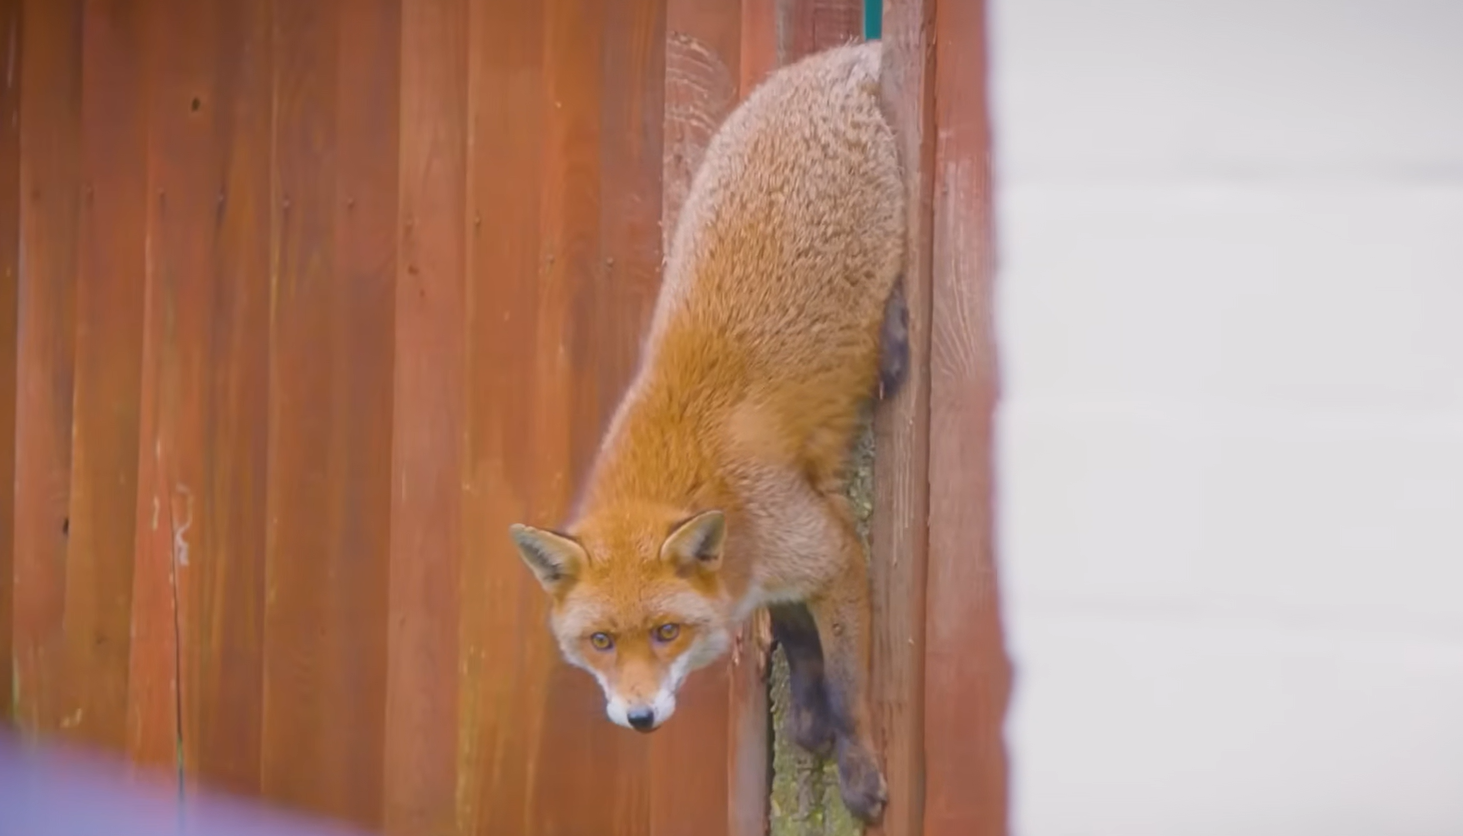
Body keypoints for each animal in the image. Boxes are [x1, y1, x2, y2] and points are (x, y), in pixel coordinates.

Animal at [508, 41, 905, 824]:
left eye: (668, 633)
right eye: (601, 641)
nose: (639, 719)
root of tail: (836, 57)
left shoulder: (833, 551)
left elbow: (849, 687)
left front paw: (858, 773)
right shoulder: (769, 572)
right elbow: (797, 640)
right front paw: (807, 719)